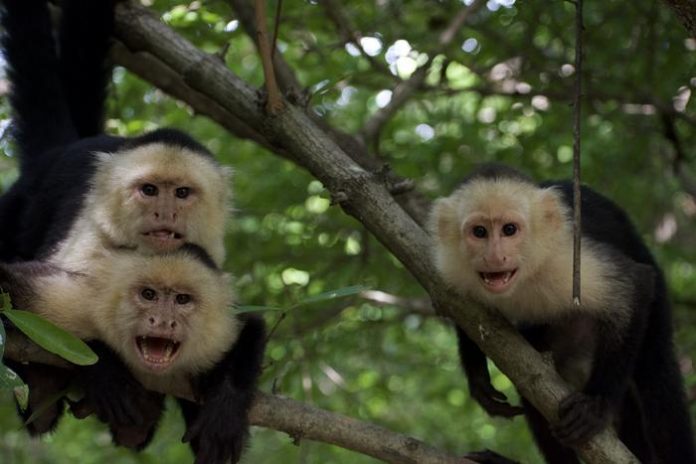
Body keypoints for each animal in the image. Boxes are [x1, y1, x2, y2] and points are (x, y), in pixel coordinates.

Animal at [0, 244, 266, 463]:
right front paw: (106, 371)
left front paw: (225, 408)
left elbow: (251, 324)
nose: (162, 321)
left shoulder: (217, 332)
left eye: (182, 299)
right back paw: (42, 384)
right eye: (148, 294)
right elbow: (10, 284)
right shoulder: (78, 302)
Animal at [429, 164, 695, 464]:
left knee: (657, 377)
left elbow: (636, 285)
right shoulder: (453, 267)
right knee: (530, 378)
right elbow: (463, 312)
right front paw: (478, 377)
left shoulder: (566, 257)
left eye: (509, 230)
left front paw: (596, 405)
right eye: (479, 231)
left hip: (657, 301)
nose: (495, 257)